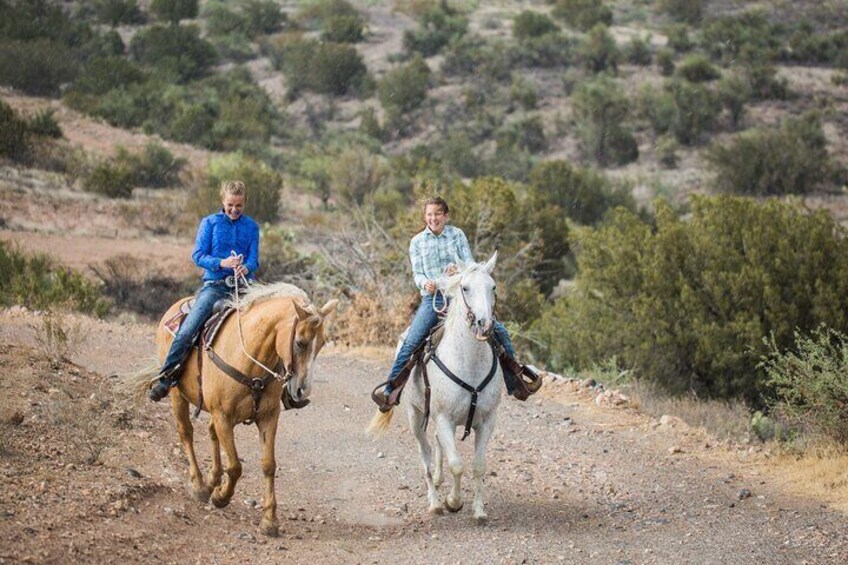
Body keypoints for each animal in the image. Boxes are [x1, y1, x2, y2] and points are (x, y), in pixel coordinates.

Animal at [121, 284, 338, 536]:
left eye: (321, 344)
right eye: (300, 342)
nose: (302, 391)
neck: (250, 357)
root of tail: (176, 306)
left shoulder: (268, 417)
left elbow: (268, 465)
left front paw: (269, 521)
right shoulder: (223, 416)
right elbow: (235, 466)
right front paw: (221, 497)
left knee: (211, 433)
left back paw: (212, 479)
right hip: (177, 395)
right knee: (186, 432)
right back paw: (200, 486)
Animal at [366, 253, 500, 524]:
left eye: (492, 287)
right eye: (465, 288)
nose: (484, 324)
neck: (469, 363)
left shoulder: (487, 421)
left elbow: (478, 465)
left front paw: (479, 511)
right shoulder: (443, 418)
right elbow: (457, 464)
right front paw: (453, 502)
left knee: (437, 447)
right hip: (416, 415)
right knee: (425, 454)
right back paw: (435, 502)